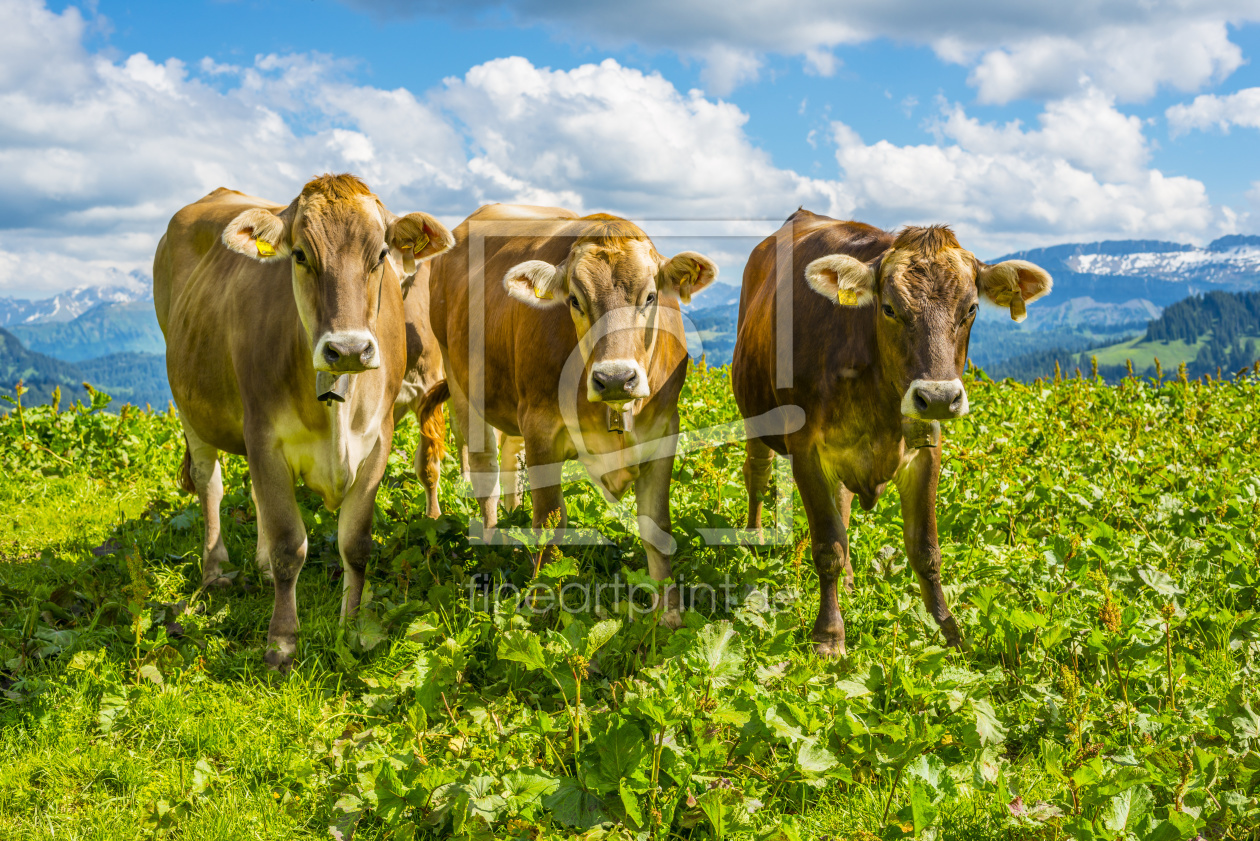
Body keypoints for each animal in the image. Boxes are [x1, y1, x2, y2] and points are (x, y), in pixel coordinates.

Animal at [153, 174, 453, 665]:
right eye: (299, 255)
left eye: (381, 255)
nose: (348, 349)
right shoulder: (264, 437)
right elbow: (288, 546)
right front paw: (281, 641)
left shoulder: (378, 442)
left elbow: (356, 544)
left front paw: (352, 625)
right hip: (189, 404)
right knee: (208, 482)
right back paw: (215, 568)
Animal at [425, 205, 715, 625]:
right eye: (575, 300)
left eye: (650, 296)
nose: (615, 378)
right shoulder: (541, 428)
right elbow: (550, 521)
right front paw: (539, 604)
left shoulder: (664, 430)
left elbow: (657, 524)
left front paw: (669, 614)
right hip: (460, 378)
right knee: (484, 469)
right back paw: (492, 540)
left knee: (510, 456)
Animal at [730, 210, 1053, 655]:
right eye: (888, 308)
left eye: (971, 309)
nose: (939, 396)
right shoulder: (806, 450)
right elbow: (828, 545)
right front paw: (829, 636)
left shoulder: (925, 448)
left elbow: (925, 549)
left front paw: (950, 633)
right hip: (755, 417)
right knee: (758, 475)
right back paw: (755, 540)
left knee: (843, 502)